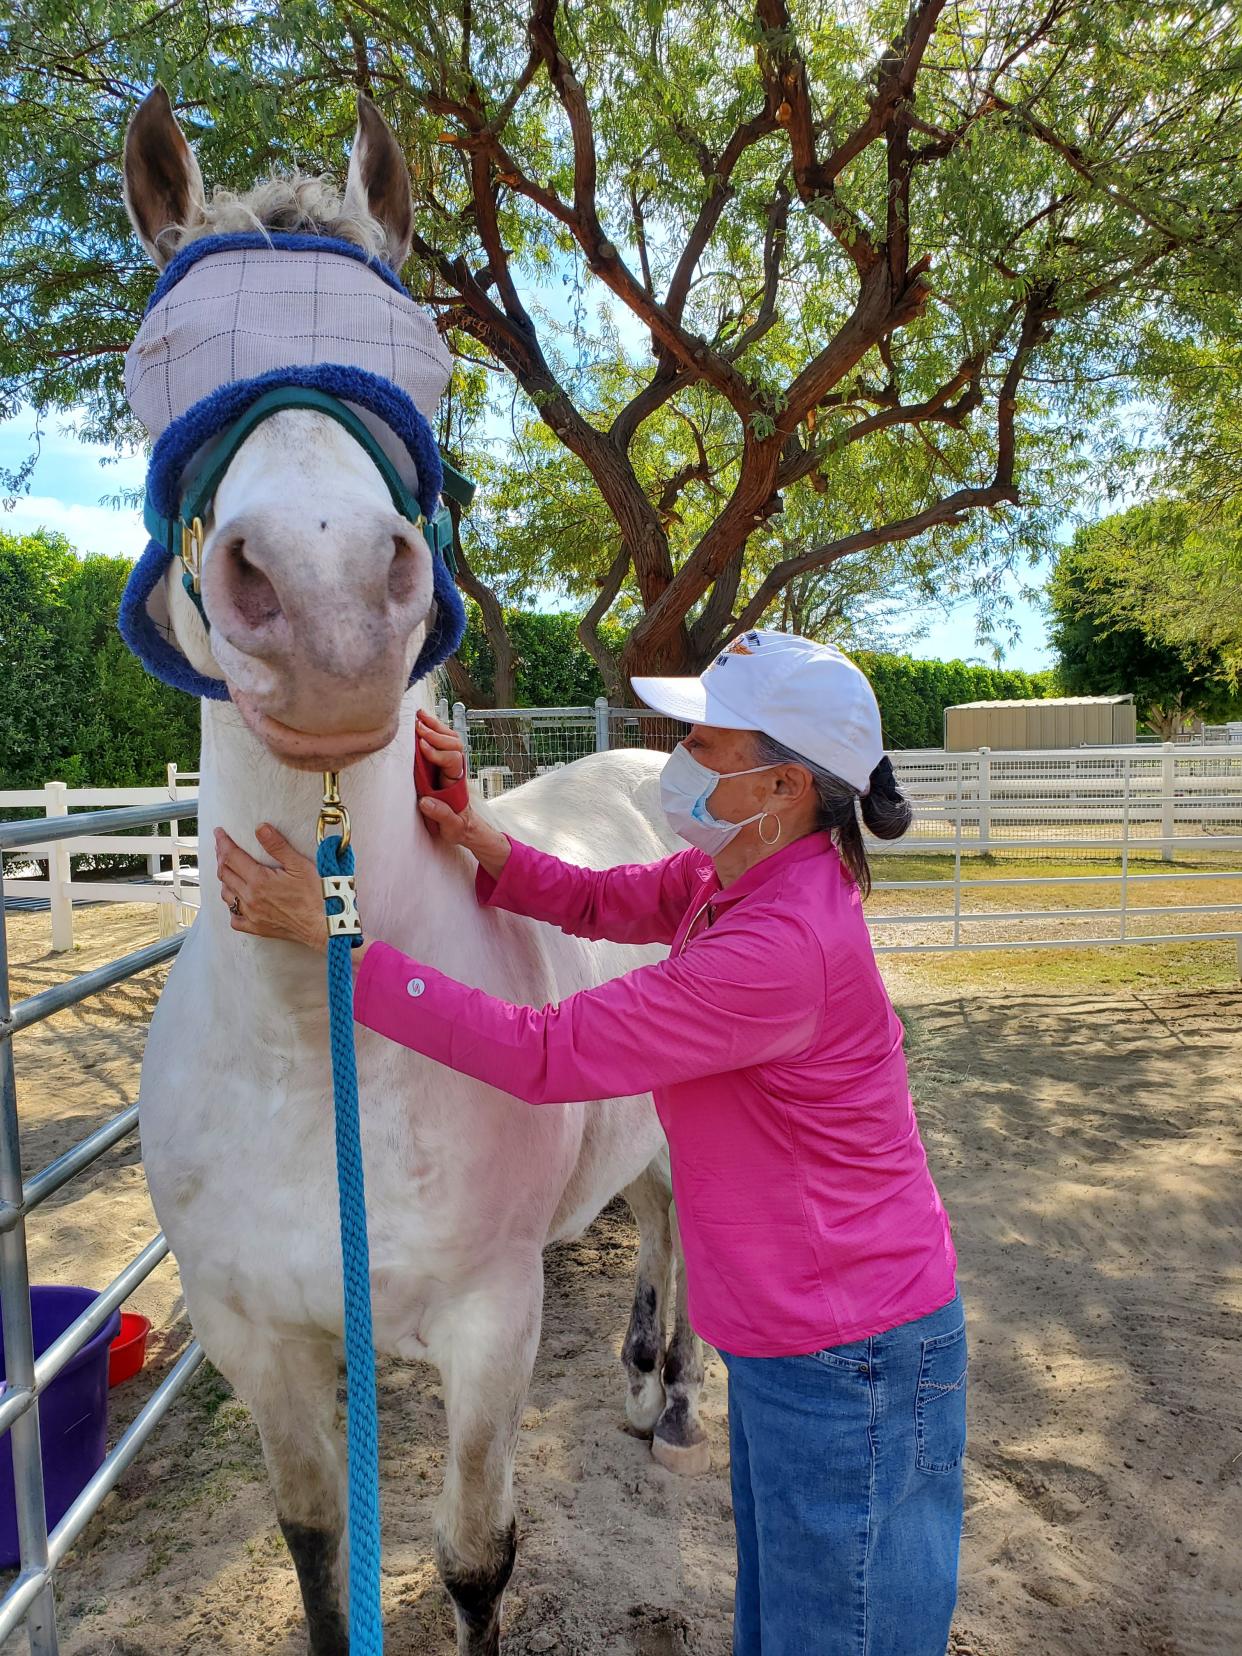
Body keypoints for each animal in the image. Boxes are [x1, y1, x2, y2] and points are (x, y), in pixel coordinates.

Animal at [126, 93, 708, 1656]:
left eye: (425, 367)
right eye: (156, 359)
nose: (325, 601)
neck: (309, 1041)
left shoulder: (488, 1327)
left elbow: (470, 1560)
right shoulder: (255, 1341)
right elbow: (321, 1557)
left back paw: (669, 1388)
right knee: (655, 1209)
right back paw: (647, 1377)